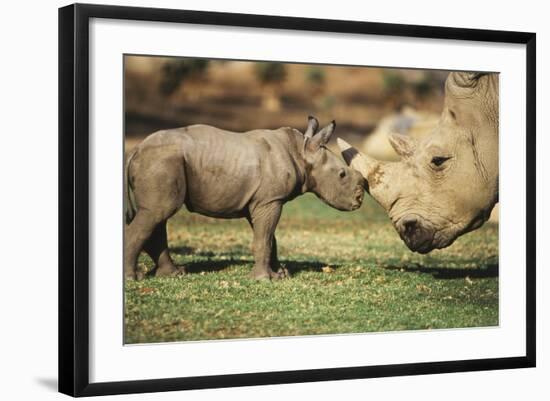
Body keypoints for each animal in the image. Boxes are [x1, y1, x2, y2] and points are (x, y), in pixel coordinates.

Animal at [126, 115, 366, 278]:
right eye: (342, 174)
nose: (359, 199)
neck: (302, 151)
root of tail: (136, 149)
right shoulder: (270, 200)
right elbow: (264, 238)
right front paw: (264, 279)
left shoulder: (263, 200)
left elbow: (269, 238)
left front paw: (280, 275)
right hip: (161, 161)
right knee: (159, 212)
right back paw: (133, 277)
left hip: (162, 161)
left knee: (158, 215)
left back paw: (175, 273)